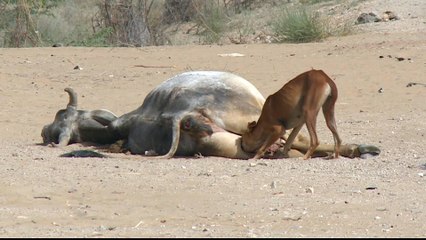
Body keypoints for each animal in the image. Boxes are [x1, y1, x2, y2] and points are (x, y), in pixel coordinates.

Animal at [41, 70, 382, 158]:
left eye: (61, 117)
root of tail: (181, 113)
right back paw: (361, 148)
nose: (44, 132)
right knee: (280, 142)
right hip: (249, 118)